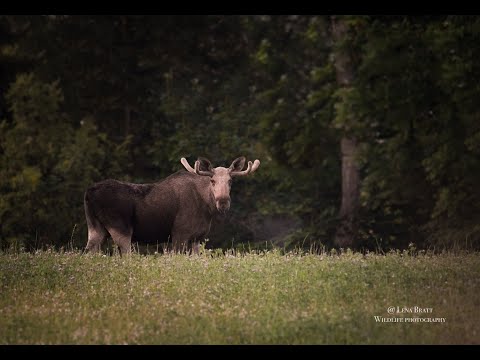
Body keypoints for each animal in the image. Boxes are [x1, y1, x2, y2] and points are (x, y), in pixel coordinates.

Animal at [84, 156, 260, 255]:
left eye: (230, 181)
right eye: (212, 180)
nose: (223, 201)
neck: (206, 209)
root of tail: (89, 192)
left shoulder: (198, 237)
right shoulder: (179, 234)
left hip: (95, 227)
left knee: (89, 253)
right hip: (120, 228)